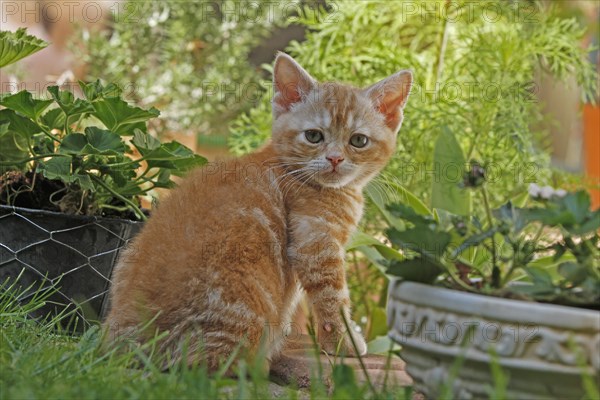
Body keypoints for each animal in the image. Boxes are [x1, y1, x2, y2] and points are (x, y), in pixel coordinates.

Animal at [104, 52, 412, 368]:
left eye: (358, 140)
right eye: (314, 136)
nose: (335, 158)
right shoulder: (315, 241)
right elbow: (331, 297)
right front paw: (342, 342)